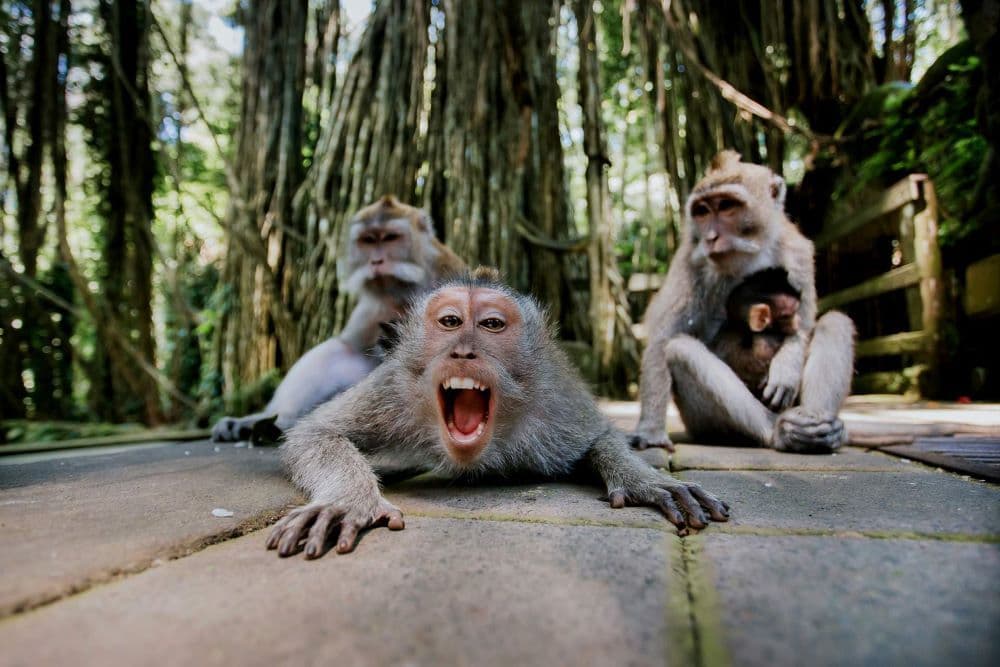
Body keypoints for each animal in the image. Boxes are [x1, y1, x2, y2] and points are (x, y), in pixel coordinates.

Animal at [212, 195, 466, 443]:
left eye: (391, 238)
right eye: (368, 240)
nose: (376, 262)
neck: (404, 293)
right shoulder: (373, 308)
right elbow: (350, 347)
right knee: (336, 351)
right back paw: (268, 422)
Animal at [266, 268, 730, 558]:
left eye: (491, 325)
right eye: (450, 321)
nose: (463, 351)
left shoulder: (554, 399)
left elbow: (600, 437)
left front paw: (645, 480)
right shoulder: (394, 387)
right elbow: (315, 432)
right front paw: (348, 500)